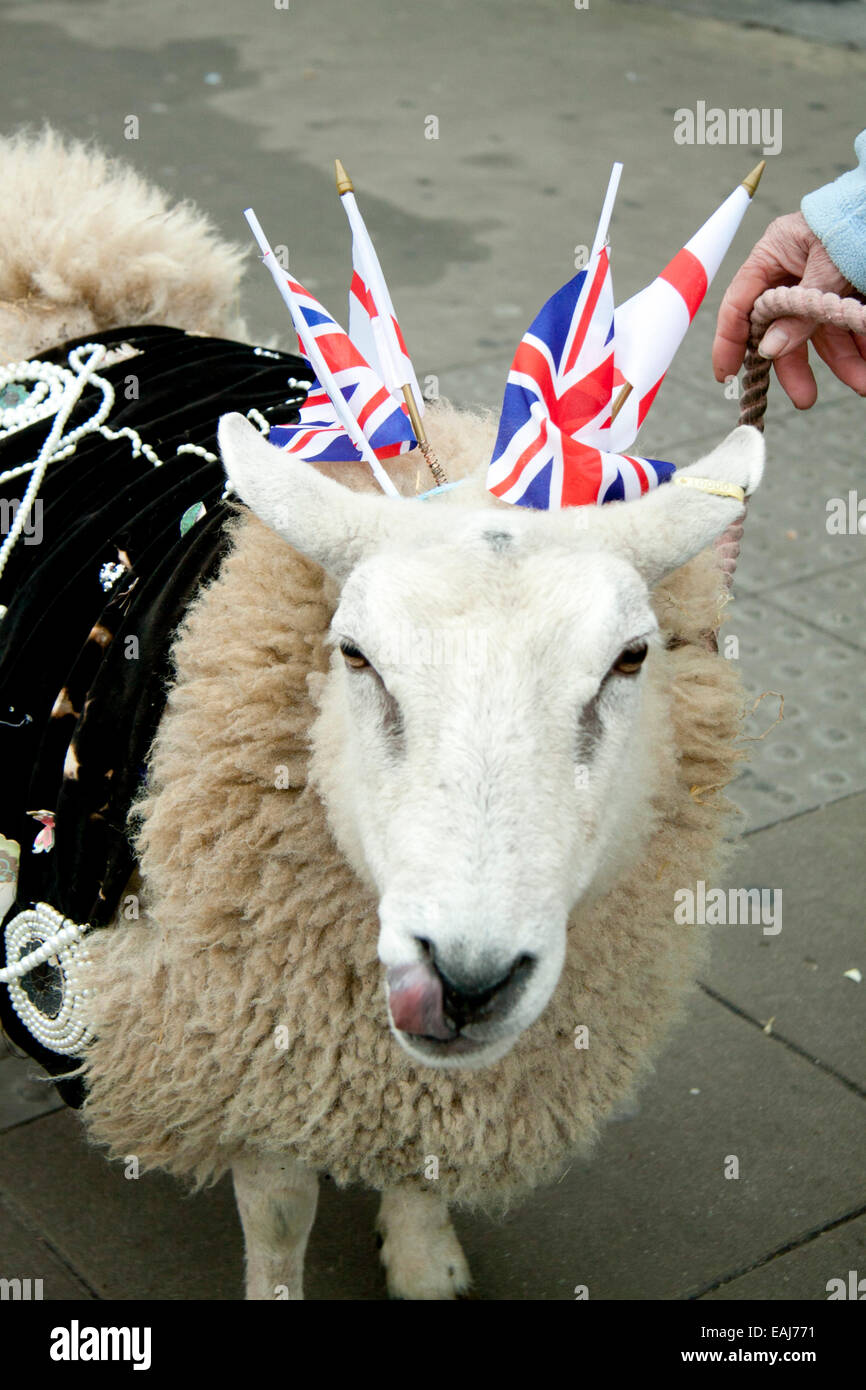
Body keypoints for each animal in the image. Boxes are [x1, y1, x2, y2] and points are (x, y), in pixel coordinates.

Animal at [0, 132, 761, 1301]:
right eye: (354, 656)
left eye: (629, 660)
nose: (467, 979)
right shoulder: (251, 1044)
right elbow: (280, 1210)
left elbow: (421, 1161)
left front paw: (423, 1255)